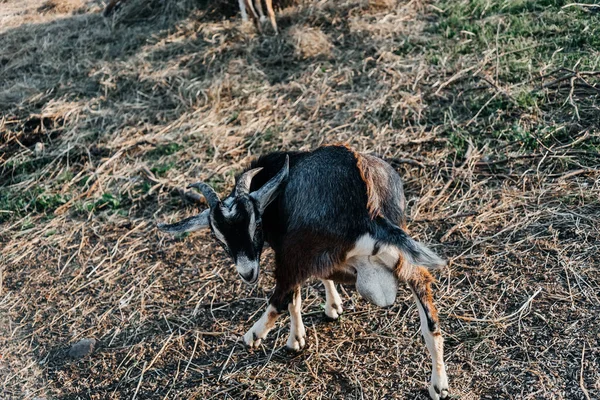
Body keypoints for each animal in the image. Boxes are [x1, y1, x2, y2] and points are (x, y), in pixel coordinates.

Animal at [159, 145, 450, 398]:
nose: (247, 273)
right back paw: (439, 385)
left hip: (295, 252)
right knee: (427, 308)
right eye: (219, 239)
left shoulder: (294, 248)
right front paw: (333, 306)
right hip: (401, 255)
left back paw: (253, 335)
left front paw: (296, 339)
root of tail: (367, 209)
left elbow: (294, 298)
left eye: (257, 226)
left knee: (281, 296)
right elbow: (322, 277)